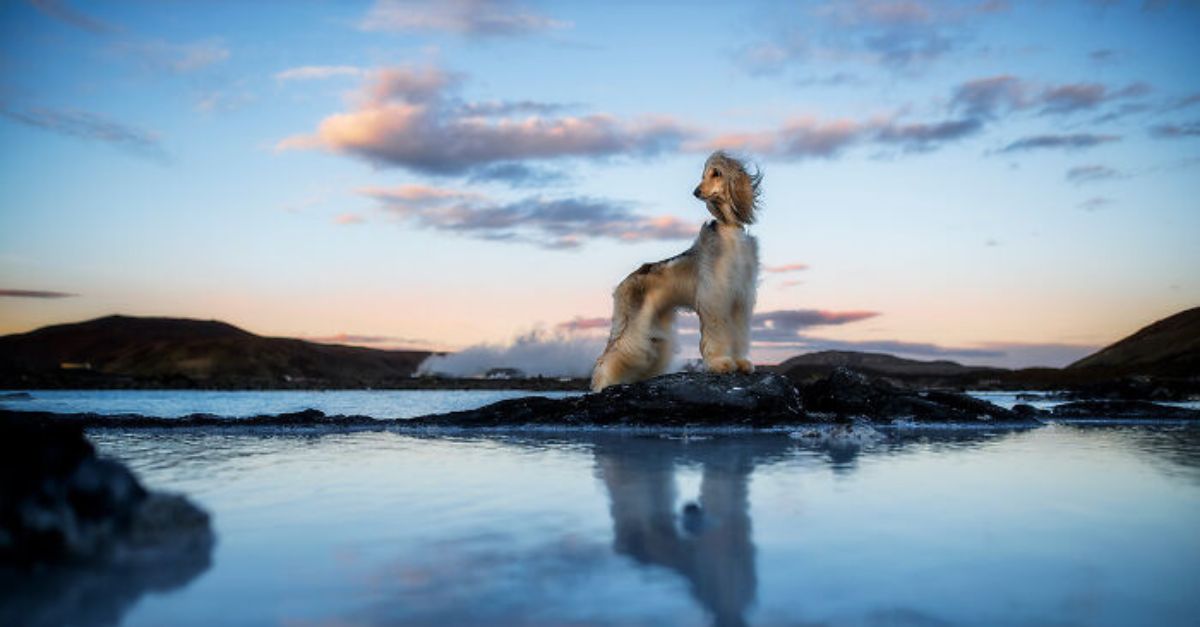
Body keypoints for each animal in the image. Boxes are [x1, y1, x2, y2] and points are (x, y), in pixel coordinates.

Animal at [590, 148, 758, 386]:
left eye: (716, 173)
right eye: (703, 175)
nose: (696, 192)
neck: (729, 230)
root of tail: (623, 283)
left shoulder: (739, 298)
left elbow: (740, 333)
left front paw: (742, 362)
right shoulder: (716, 297)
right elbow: (717, 332)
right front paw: (721, 363)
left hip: (654, 327)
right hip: (631, 324)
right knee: (610, 356)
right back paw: (602, 383)